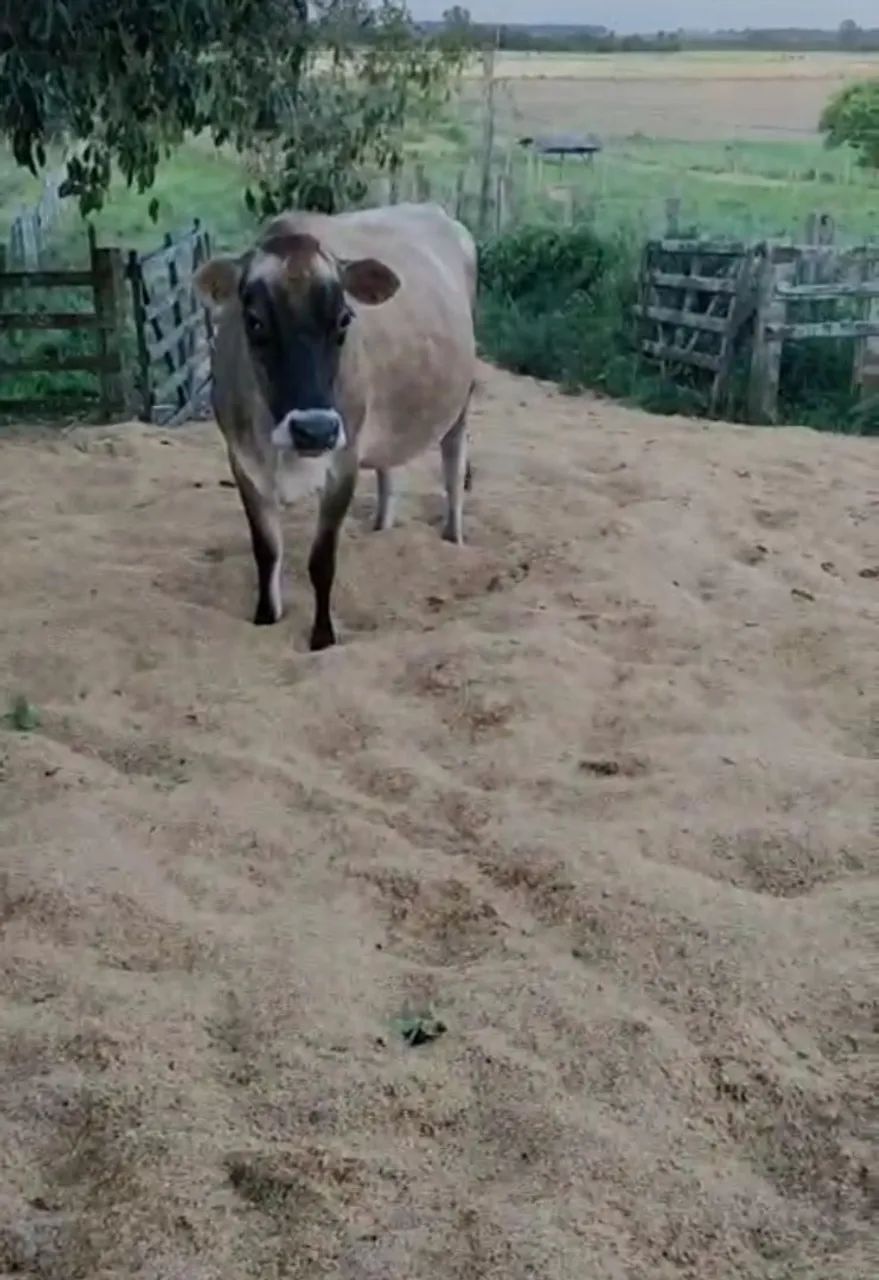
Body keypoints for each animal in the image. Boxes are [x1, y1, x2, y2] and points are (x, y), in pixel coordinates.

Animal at [194, 203, 477, 651]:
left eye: (344, 320)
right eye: (254, 322)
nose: (314, 429)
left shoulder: (343, 459)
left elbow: (322, 560)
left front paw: (323, 636)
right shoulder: (242, 462)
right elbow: (266, 550)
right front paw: (265, 617)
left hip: (460, 399)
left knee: (453, 466)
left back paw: (453, 537)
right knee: (388, 469)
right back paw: (382, 528)